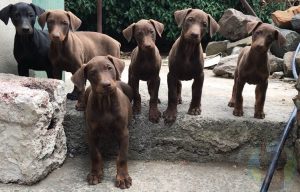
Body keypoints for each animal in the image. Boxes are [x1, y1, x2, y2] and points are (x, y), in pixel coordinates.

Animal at [71, 55, 132, 189]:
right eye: (93, 73)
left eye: (109, 68)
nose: (106, 85)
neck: (105, 103)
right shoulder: (91, 133)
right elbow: (95, 154)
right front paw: (95, 174)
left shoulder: (123, 132)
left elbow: (122, 157)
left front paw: (123, 177)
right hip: (87, 90)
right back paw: (81, 104)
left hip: (128, 88)